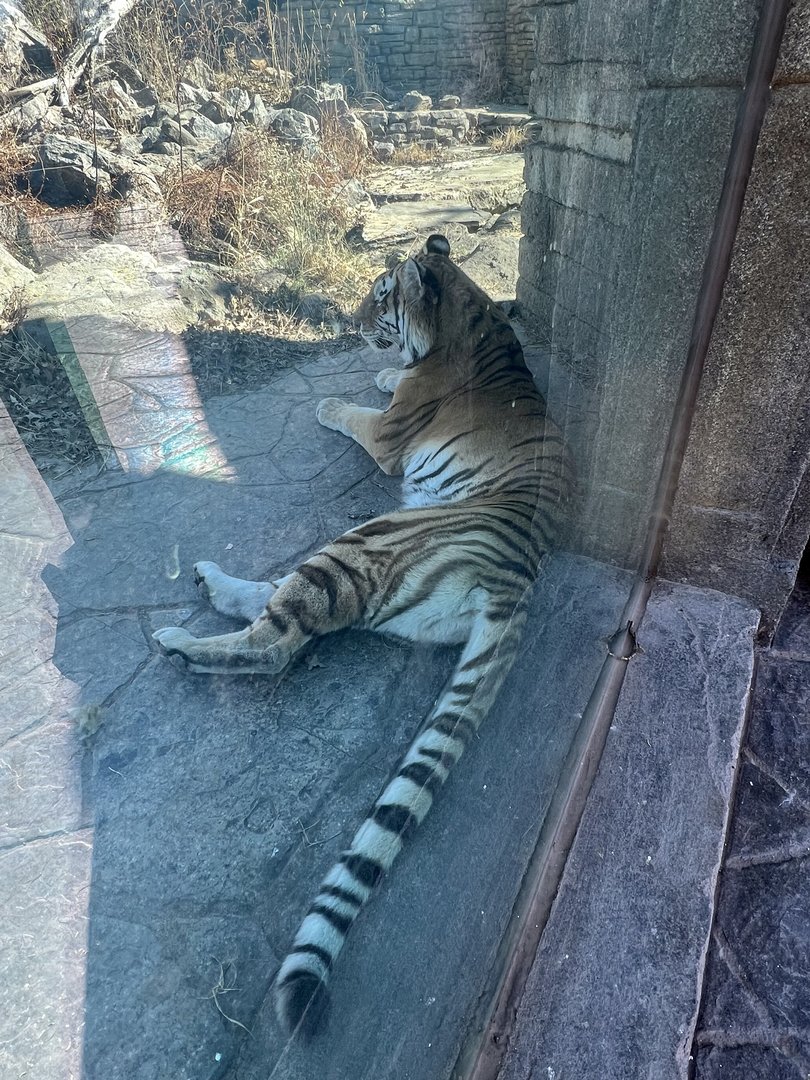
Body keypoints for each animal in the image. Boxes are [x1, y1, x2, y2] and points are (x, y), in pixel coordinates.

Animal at [152, 234, 573, 1038]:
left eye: (379, 297)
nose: (348, 325)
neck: (470, 314)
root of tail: (519, 578)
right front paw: (378, 370)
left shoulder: (384, 433)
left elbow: (349, 412)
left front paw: (333, 395)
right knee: (281, 613)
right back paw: (211, 587)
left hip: (365, 540)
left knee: (277, 645)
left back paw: (183, 643)